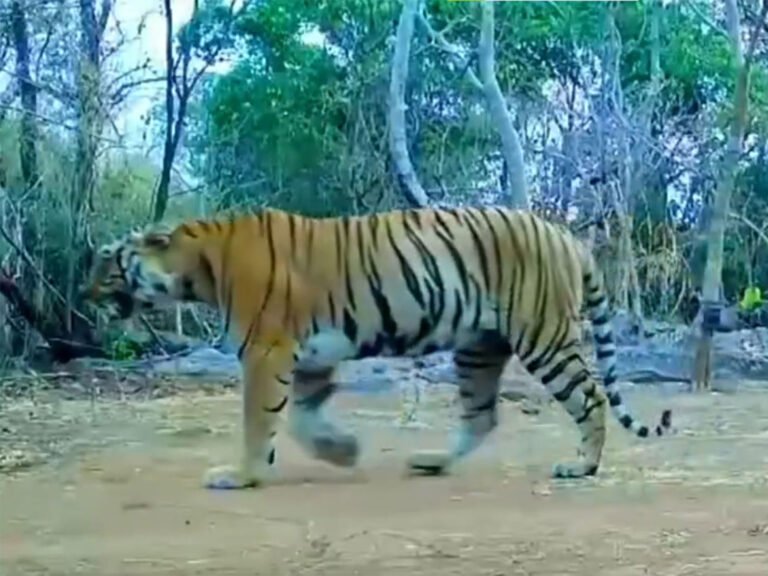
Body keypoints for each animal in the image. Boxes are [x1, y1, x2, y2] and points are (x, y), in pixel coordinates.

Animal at [81, 206, 673, 490]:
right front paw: (344, 451)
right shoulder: (308, 357)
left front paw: (240, 476)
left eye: (107, 264)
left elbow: (258, 421)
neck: (196, 266)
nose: (84, 295)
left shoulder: (266, 351)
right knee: (481, 416)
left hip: (542, 336)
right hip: (478, 347)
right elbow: (300, 419)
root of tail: (567, 235)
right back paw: (431, 461)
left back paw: (582, 466)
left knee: (590, 397)